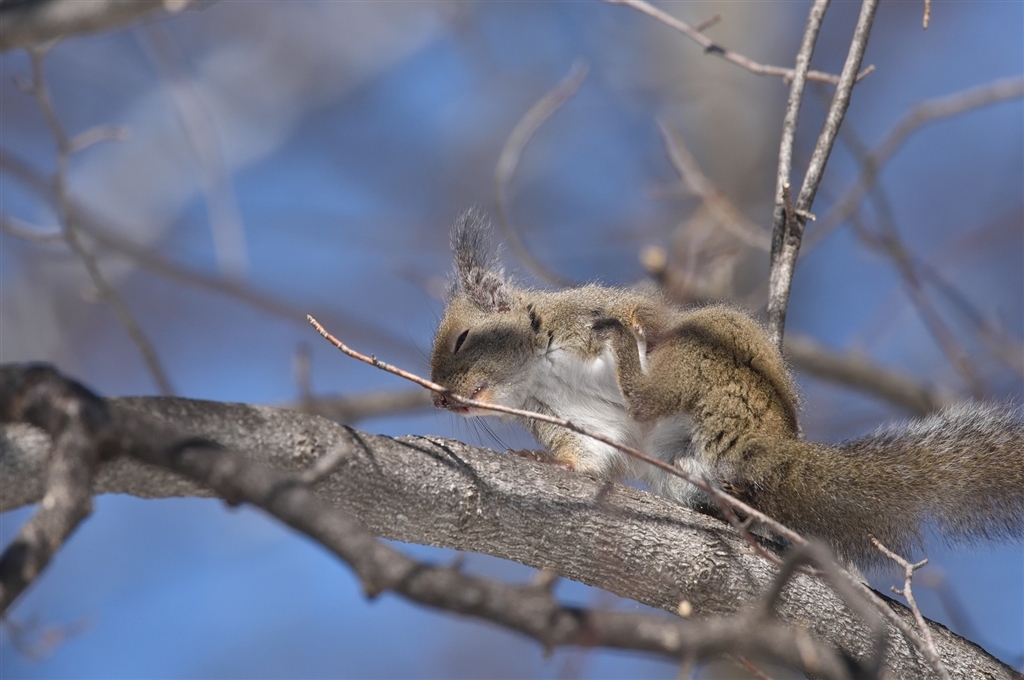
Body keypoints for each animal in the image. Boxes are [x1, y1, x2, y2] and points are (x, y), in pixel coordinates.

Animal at [428, 208, 1024, 569]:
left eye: (462, 338)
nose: (437, 397)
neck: (535, 368)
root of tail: (770, 447)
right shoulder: (567, 418)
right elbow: (587, 457)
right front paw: (550, 462)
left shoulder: (596, 313)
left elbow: (640, 316)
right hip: (680, 468)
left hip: (701, 363)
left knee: (651, 393)